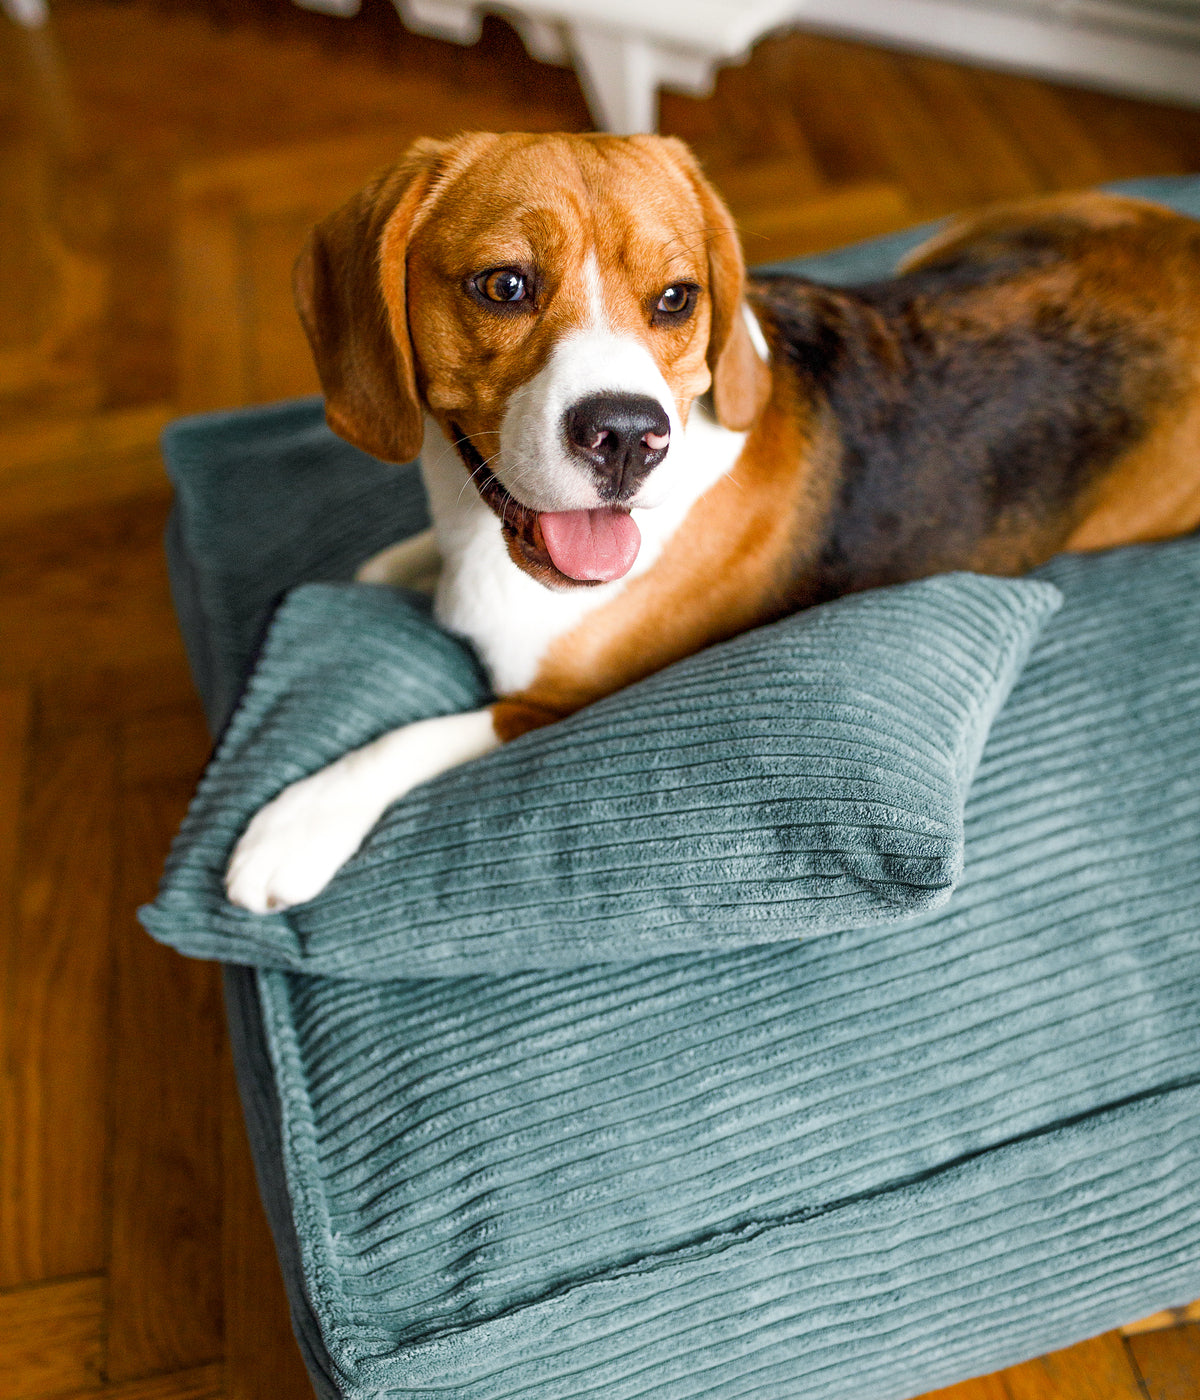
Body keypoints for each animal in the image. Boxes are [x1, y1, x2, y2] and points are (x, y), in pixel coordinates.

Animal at [222, 133, 1198, 918]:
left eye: (675, 299)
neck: (482, 533)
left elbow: (410, 738)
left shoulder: (551, 708)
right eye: (503, 285)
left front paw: (301, 821)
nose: (626, 436)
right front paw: (394, 563)